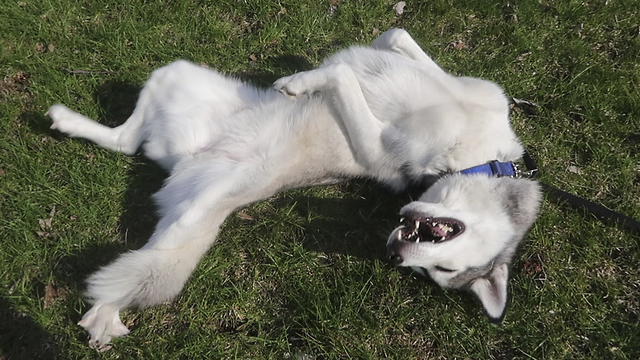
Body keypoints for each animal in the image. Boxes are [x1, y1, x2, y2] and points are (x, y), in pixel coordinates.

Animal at [46, 29, 540, 350]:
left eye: (438, 272)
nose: (395, 256)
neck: (482, 156)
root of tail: (188, 156)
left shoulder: (378, 146)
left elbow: (343, 75)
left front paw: (305, 81)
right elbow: (393, 38)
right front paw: (313, 73)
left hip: (196, 211)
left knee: (147, 246)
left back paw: (104, 314)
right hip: (175, 74)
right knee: (126, 140)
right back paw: (66, 120)